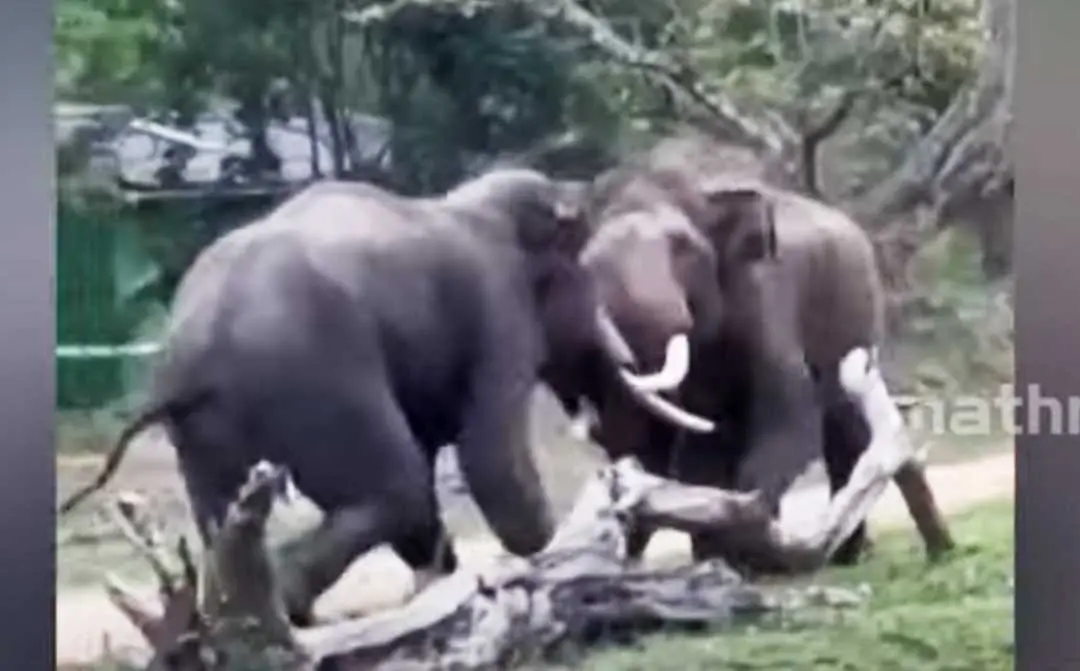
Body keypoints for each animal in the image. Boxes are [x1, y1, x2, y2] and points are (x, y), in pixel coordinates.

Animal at [57, 167, 604, 625]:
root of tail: (190, 361)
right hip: (316, 382)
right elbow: (487, 460)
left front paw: (440, 579)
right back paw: (290, 609)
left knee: (221, 515)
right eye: (583, 268)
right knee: (397, 486)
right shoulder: (499, 310)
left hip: (205, 433)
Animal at [551, 161, 954, 570]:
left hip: (857, 319)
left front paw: (753, 557)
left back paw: (846, 554)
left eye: (683, 247)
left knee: (845, 430)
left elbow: (787, 419)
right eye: (588, 265)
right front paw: (717, 559)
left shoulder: (764, 299)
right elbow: (699, 455)